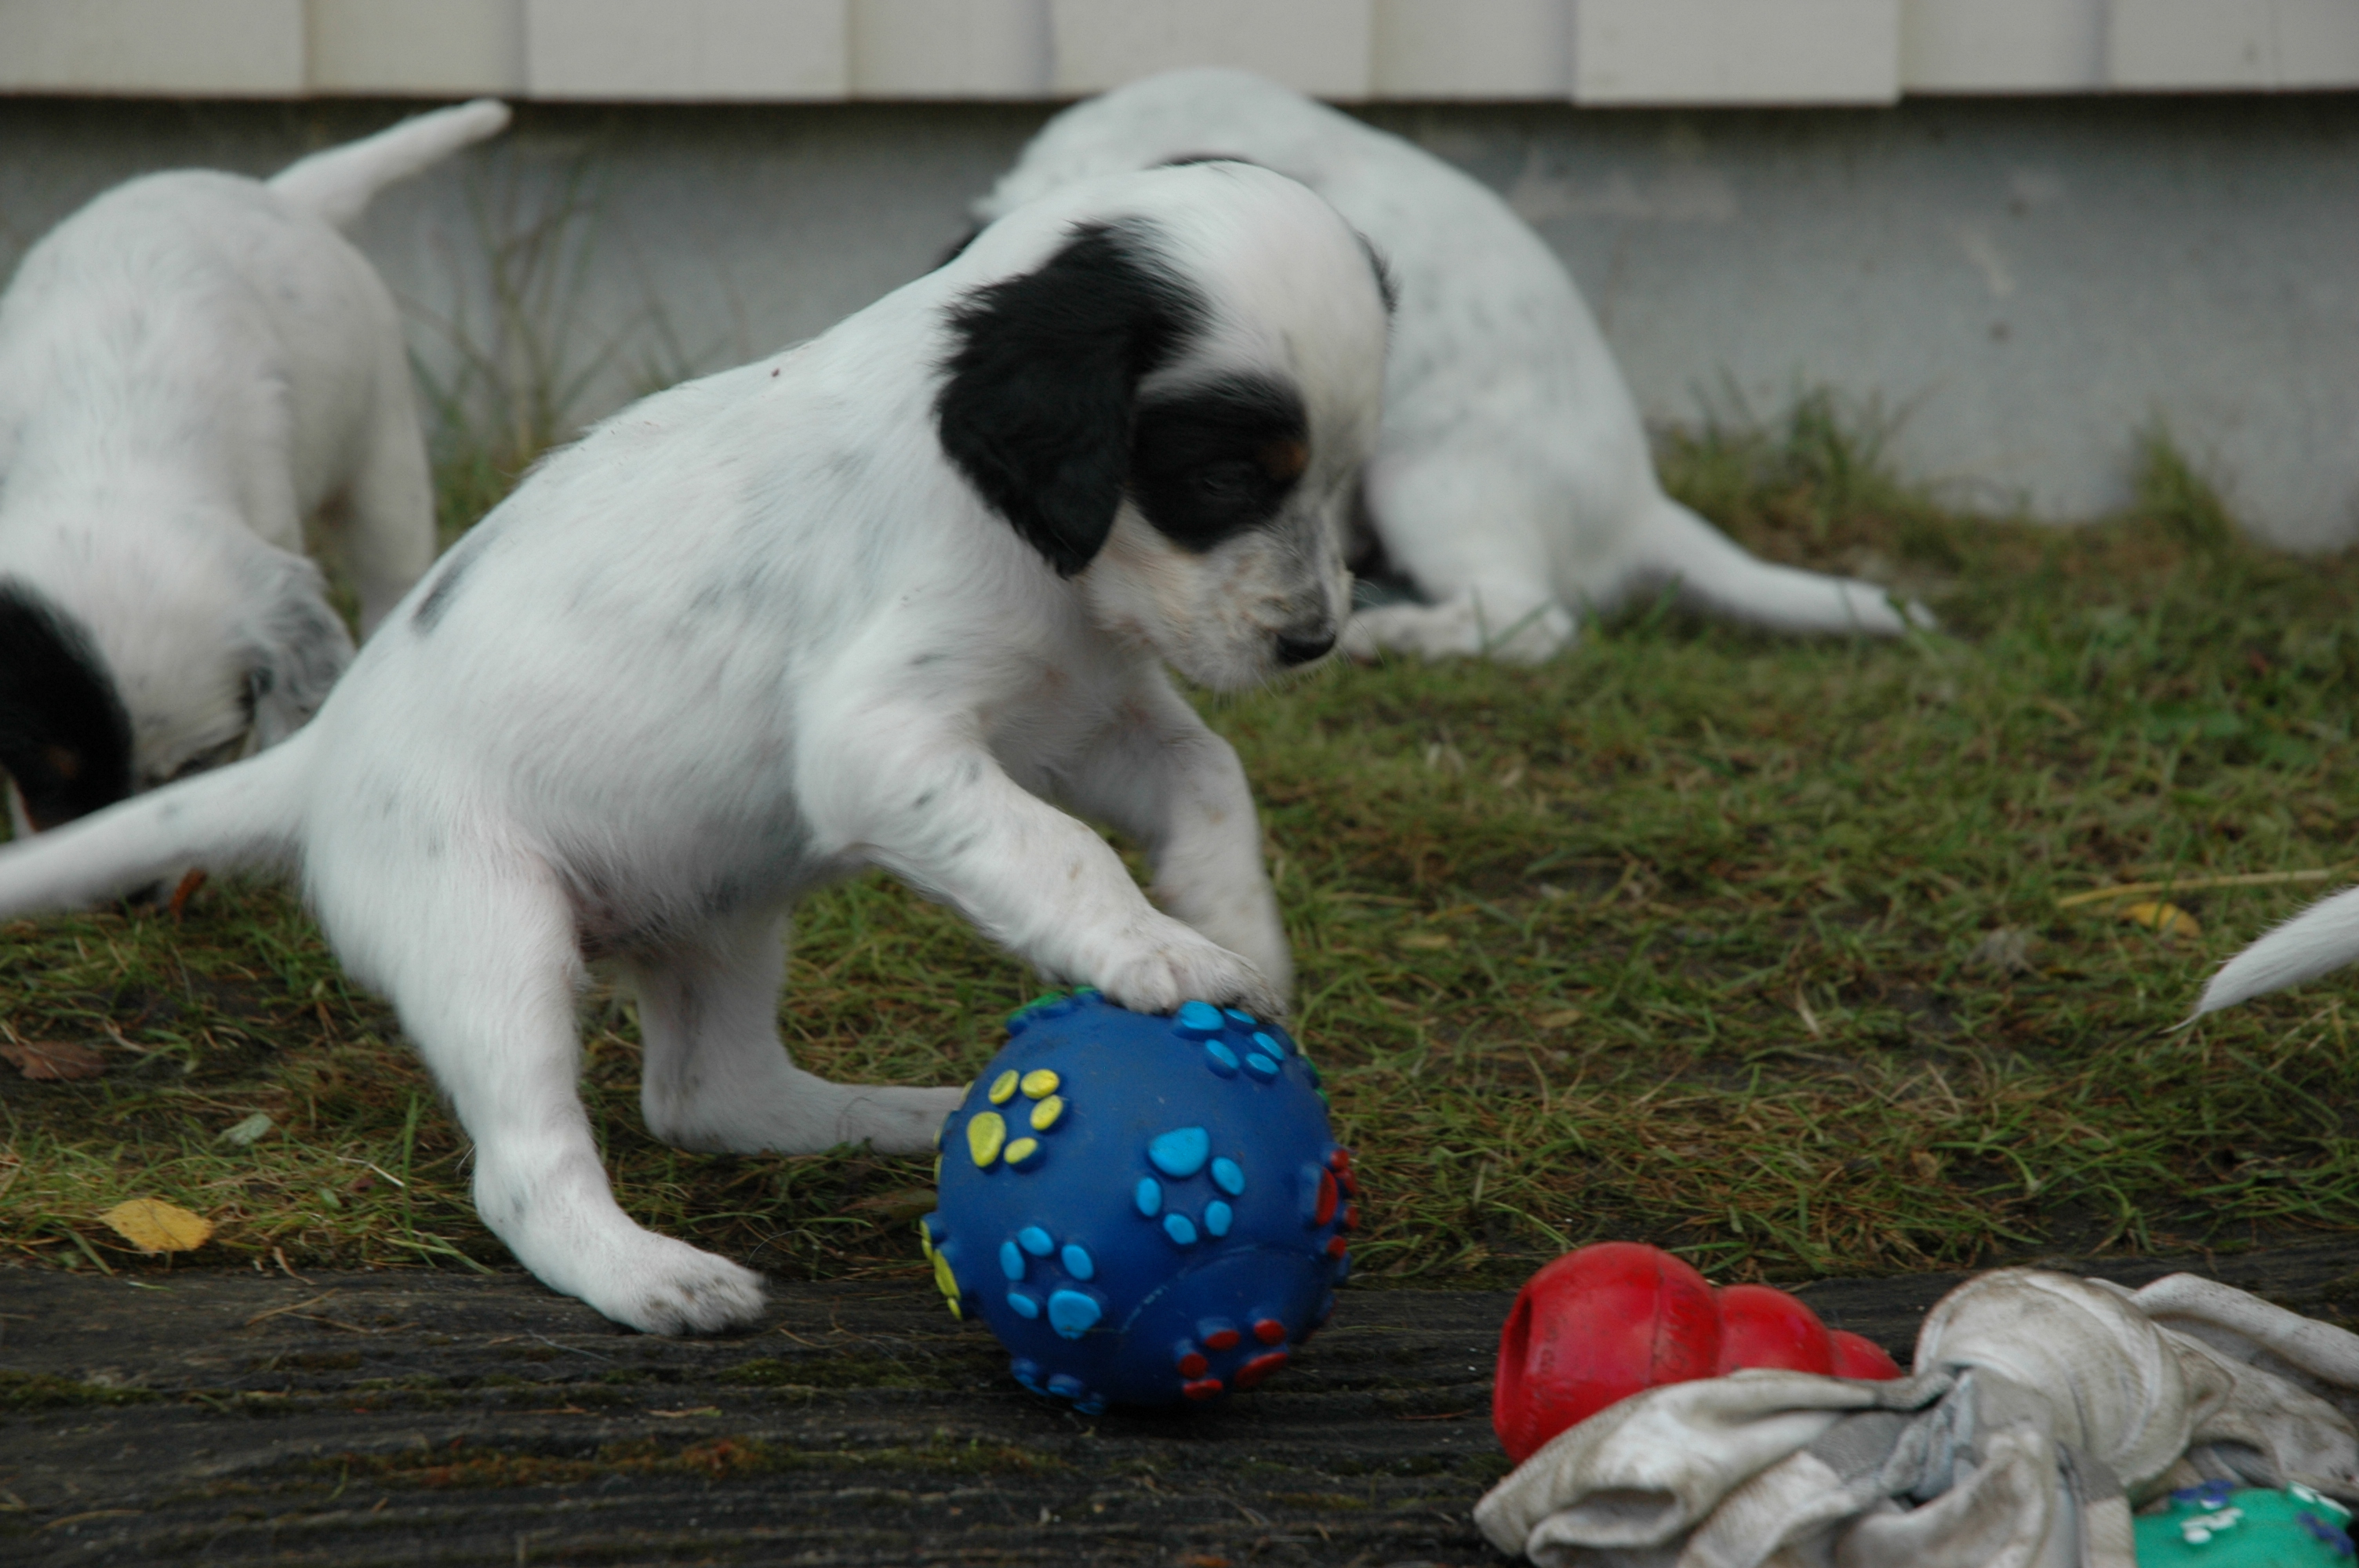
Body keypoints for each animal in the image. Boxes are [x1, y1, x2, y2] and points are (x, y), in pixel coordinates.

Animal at [0, 99, 510, 837]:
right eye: (47, 777)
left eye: (199, 762)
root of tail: (277, 193)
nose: (134, 888)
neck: (108, 444)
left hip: (381, 452)